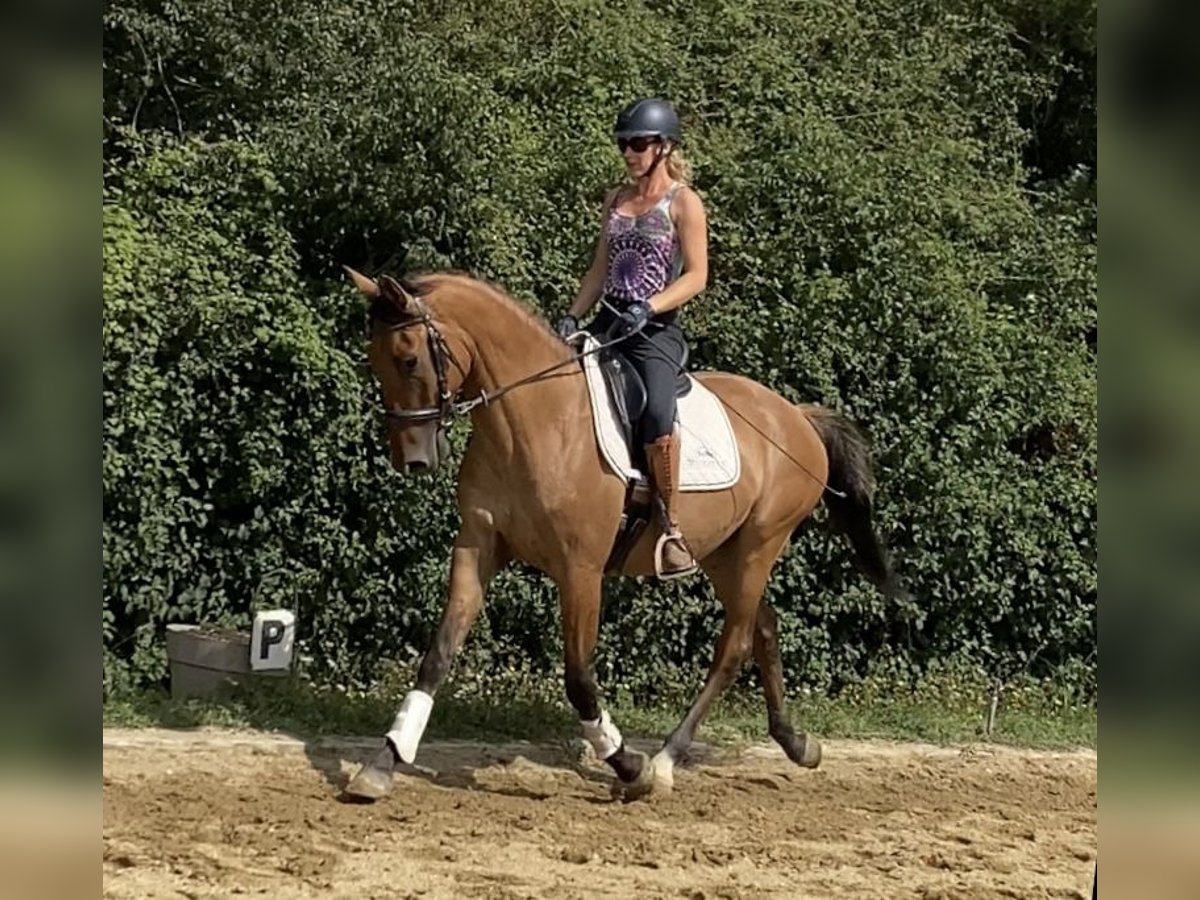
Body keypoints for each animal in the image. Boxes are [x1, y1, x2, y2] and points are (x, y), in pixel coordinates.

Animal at [343, 267, 902, 801]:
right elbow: (437, 656)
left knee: (736, 644)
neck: (534, 419)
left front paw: (630, 766)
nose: (413, 459)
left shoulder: (581, 570)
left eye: (409, 360)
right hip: (724, 553)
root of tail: (798, 417)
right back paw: (796, 743)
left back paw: (667, 760)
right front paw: (381, 765)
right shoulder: (477, 547)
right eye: (375, 362)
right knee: (763, 625)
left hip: (759, 545)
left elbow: (578, 678)